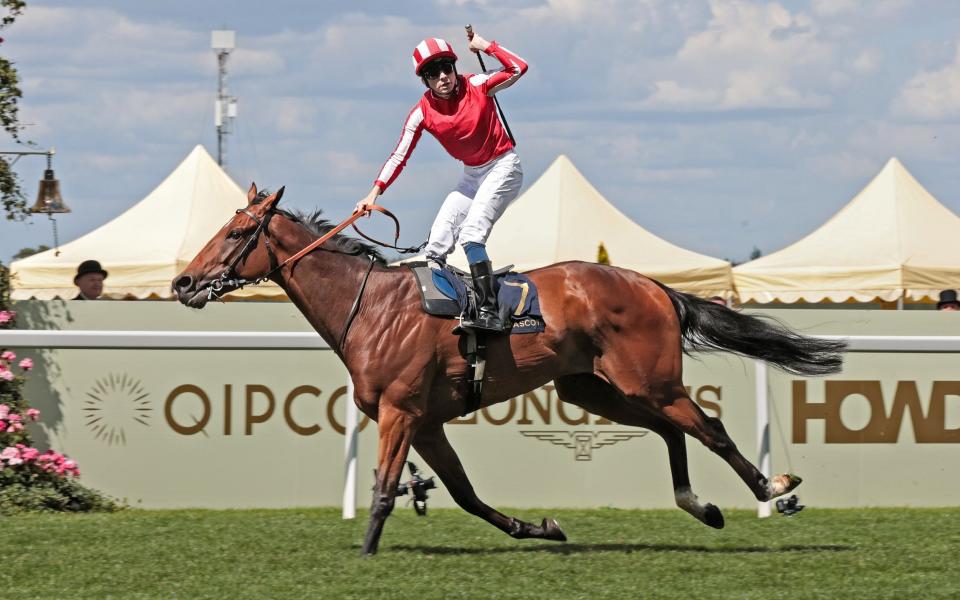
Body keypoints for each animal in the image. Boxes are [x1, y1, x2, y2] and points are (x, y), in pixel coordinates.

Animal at [174, 185, 848, 556]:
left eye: (236, 232)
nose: (182, 282)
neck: (370, 307)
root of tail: (655, 286)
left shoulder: (400, 411)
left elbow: (386, 489)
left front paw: (364, 554)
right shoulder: (427, 423)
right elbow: (465, 495)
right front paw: (541, 528)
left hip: (649, 379)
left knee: (710, 428)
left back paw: (774, 490)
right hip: (589, 386)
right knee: (671, 429)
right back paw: (700, 505)